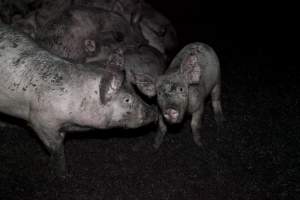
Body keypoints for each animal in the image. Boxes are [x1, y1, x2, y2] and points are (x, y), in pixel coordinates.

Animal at [0, 24, 158, 175]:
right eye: (127, 100)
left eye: (134, 90)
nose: (154, 112)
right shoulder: (40, 119)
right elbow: (56, 146)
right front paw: (62, 175)